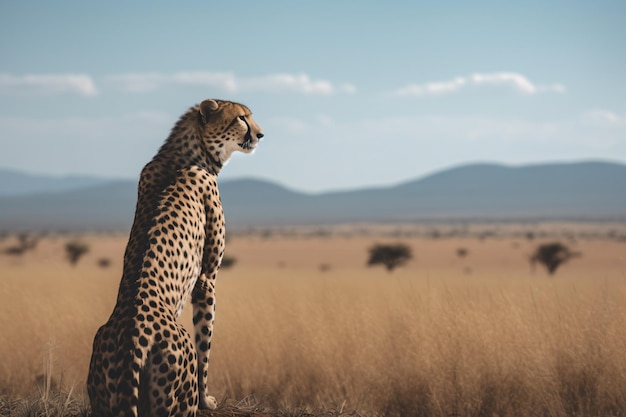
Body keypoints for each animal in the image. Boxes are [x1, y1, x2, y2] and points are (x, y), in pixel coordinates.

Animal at [88, 99, 264, 414]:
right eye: (242, 118)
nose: (260, 135)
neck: (187, 153)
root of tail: (133, 336)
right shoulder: (207, 279)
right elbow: (206, 343)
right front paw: (207, 400)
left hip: (103, 402)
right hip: (173, 400)